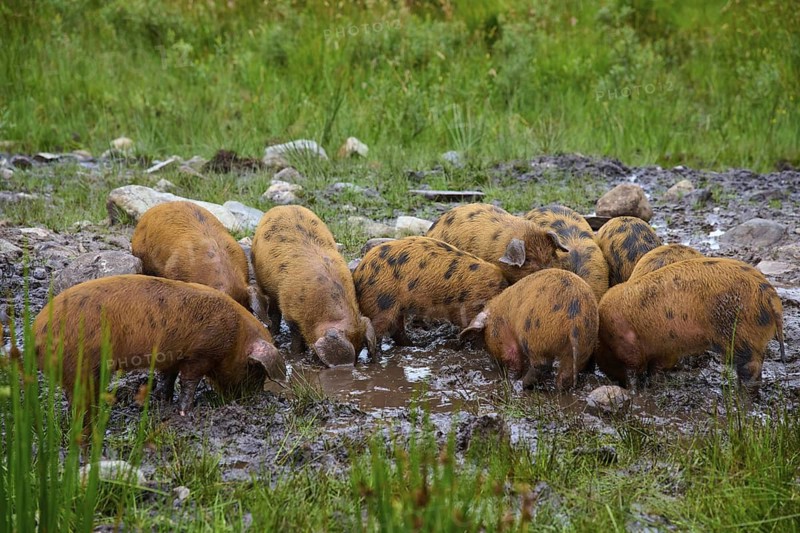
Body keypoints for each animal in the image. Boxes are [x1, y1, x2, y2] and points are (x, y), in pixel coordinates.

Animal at [33, 275, 286, 416]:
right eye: (254, 369)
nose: (250, 399)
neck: (236, 337)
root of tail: (35, 334)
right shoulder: (200, 354)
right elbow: (188, 381)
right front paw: (185, 412)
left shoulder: (171, 355)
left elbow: (168, 378)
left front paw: (161, 400)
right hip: (84, 362)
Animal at [251, 205, 377, 366]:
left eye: (360, 350)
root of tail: (282, 207)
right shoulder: (290, 311)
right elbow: (296, 336)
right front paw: (296, 354)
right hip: (264, 282)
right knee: (274, 312)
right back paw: (274, 333)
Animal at [352, 236, 509, 345]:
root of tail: (359, 274)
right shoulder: (468, 306)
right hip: (382, 302)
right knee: (378, 330)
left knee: (396, 330)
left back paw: (414, 345)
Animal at [460, 269, 598, 390]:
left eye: (488, 335)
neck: (502, 314)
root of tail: (574, 319)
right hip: (584, 343)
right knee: (566, 373)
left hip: (533, 336)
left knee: (542, 365)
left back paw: (522, 384)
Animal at [596, 258, 786, 389]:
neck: (605, 338)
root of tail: (770, 296)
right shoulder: (665, 348)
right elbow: (655, 370)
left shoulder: (628, 344)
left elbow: (635, 371)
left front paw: (634, 390)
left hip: (741, 334)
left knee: (750, 370)